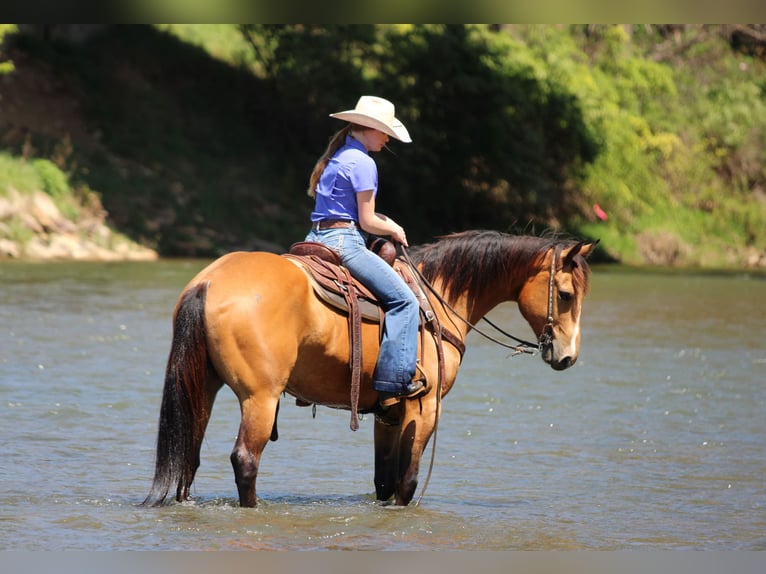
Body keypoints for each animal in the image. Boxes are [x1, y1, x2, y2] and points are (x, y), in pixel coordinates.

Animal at [143, 230, 597, 508]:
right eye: (566, 294)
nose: (567, 356)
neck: (438, 297)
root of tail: (208, 282)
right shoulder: (424, 407)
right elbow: (407, 483)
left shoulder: (388, 411)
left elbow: (383, 481)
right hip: (260, 398)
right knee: (245, 460)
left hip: (203, 387)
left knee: (189, 455)